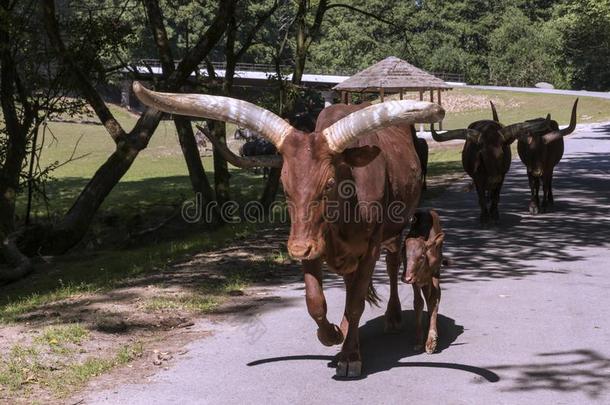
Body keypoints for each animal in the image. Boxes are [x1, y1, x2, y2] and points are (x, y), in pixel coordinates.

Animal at [402, 208, 444, 354]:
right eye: (405, 256)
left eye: (421, 256)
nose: (406, 278)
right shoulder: (415, 280)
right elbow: (418, 303)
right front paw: (419, 340)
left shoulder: (435, 275)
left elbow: (433, 300)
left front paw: (431, 341)